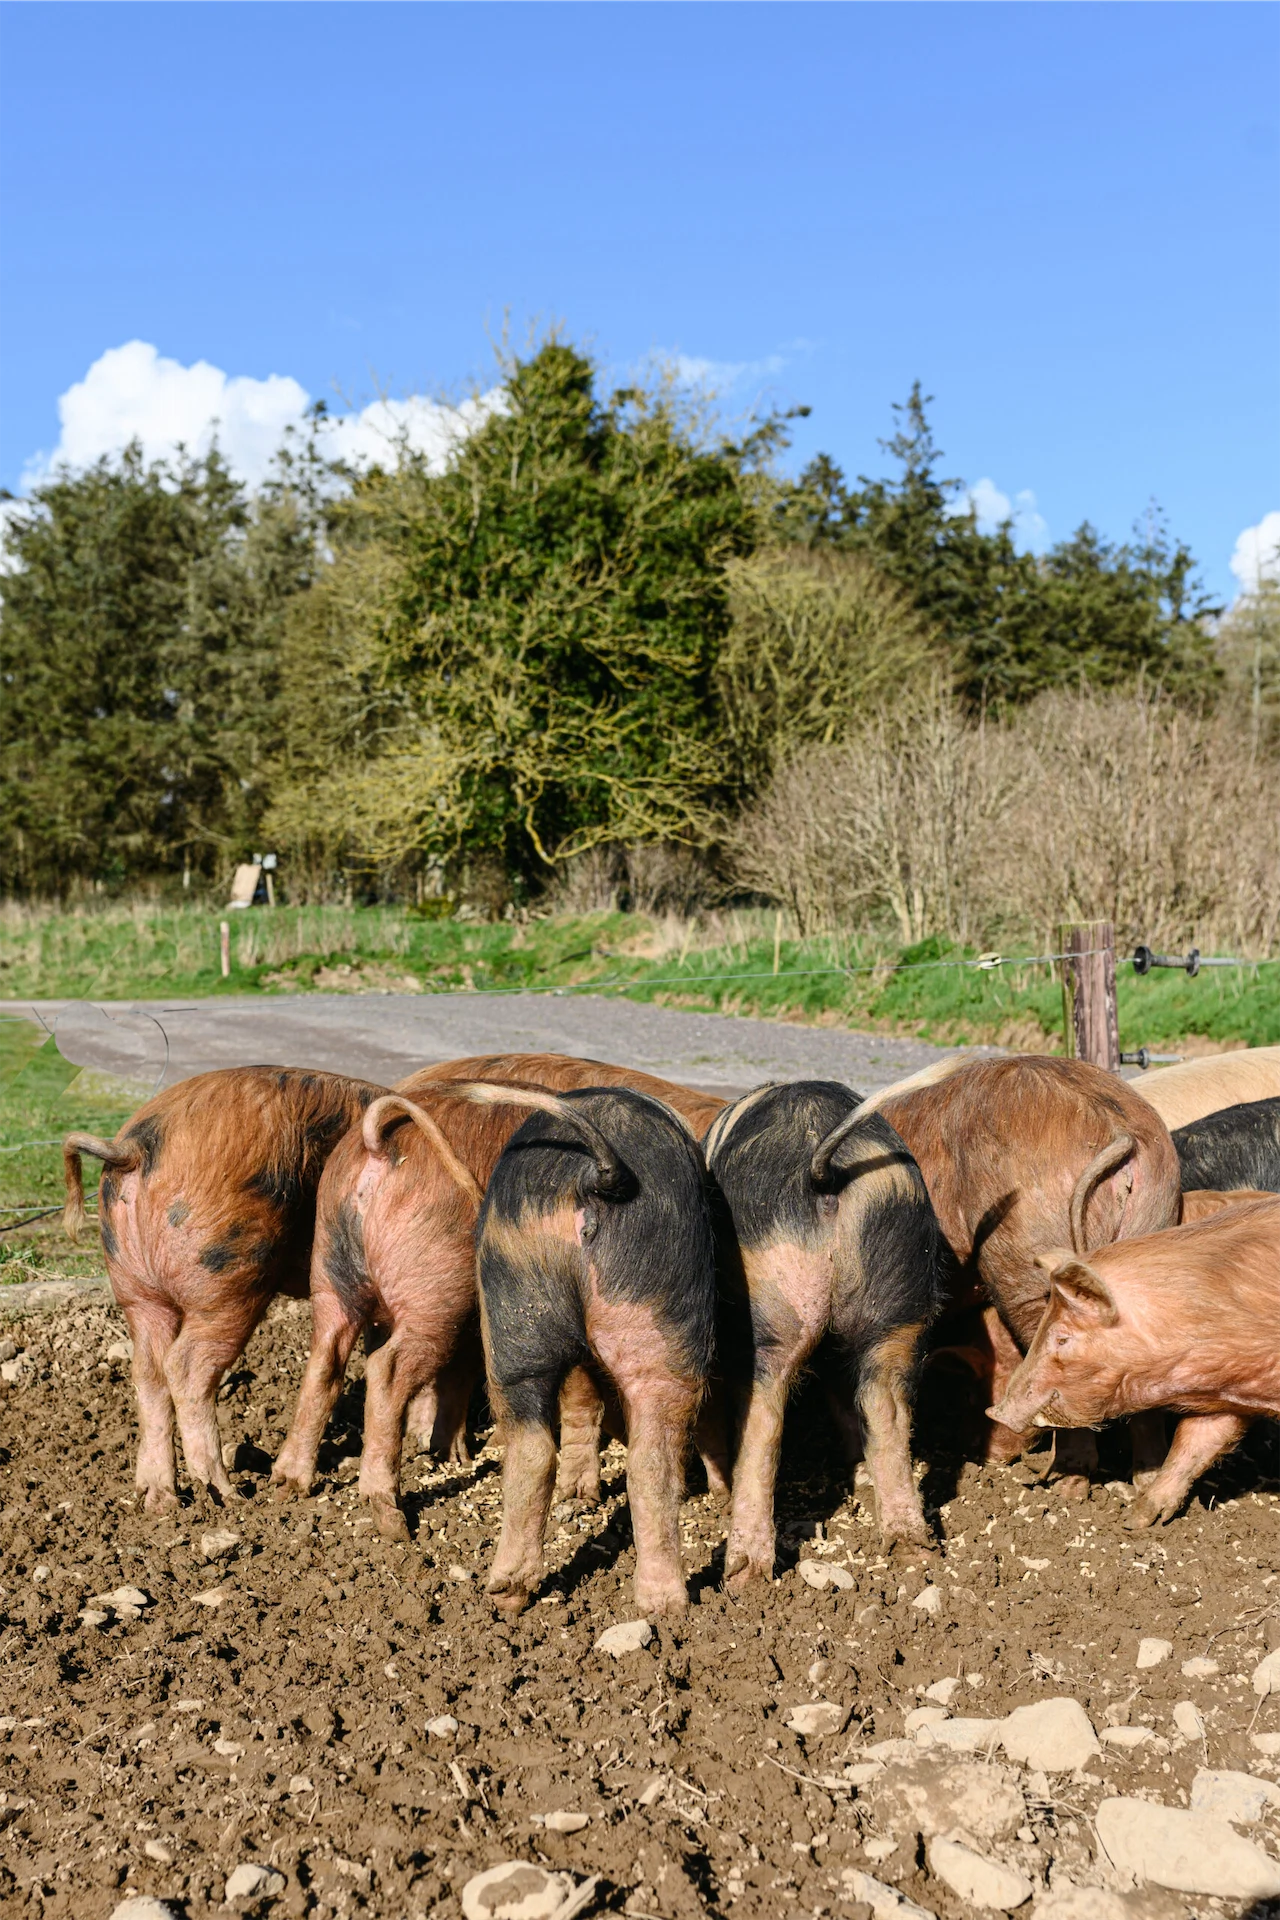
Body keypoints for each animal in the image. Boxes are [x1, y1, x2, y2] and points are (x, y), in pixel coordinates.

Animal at [62, 1067, 383, 1510]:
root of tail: (131, 1148)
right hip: (230, 1278)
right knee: (186, 1367)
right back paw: (227, 1495)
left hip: (135, 1287)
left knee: (148, 1370)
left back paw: (160, 1500)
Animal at [271, 1052, 725, 1535]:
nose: (717, 1490)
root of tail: (378, 1146)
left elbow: (469, 1377)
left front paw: (454, 1453)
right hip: (435, 1285)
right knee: (385, 1369)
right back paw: (391, 1516)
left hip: (331, 1263)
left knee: (325, 1358)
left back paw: (289, 1482)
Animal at [469, 1081, 716, 1617]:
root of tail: (594, 1175)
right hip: (660, 1299)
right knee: (652, 1459)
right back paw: (665, 1606)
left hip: (513, 1295)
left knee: (532, 1445)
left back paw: (506, 1594)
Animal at [704, 1081, 944, 1588]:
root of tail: (824, 1170)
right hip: (899, 1286)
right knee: (886, 1405)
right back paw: (910, 1547)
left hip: (769, 1295)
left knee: (764, 1421)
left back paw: (743, 1573)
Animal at [878, 1056, 1181, 1489]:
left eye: (968, 1394)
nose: (983, 1456)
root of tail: (1119, 1134)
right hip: (1155, 1216)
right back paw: (1143, 1481)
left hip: (1027, 1245)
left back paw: (1068, 1486)